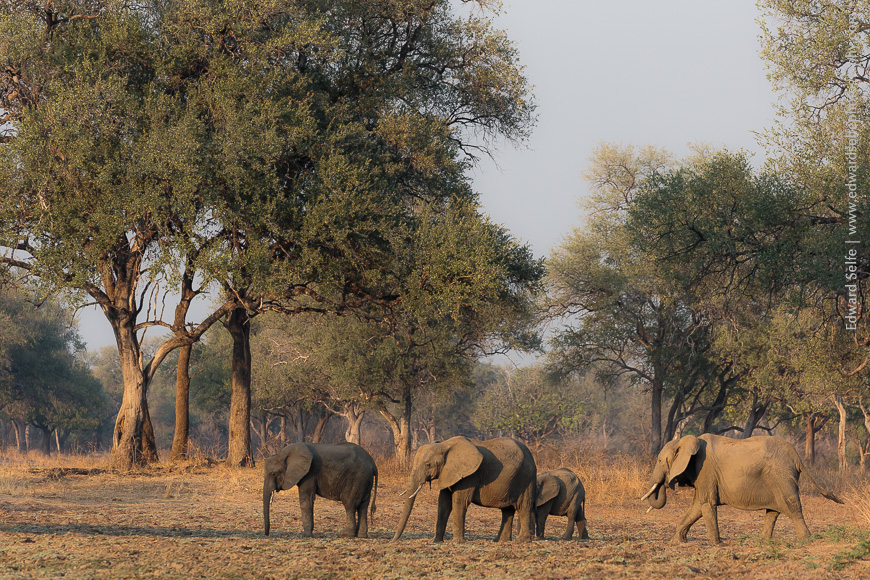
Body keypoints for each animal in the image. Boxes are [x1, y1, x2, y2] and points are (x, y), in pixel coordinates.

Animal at [392, 436, 536, 543]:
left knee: (523, 506)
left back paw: (521, 541)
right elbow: (443, 504)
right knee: (507, 510)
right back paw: (500, 541)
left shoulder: (470, 475)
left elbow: (459, 502)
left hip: (525, 478)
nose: (393, 540)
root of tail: (531, 455)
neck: (444, 445)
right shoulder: (448, 473)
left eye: (428, 464)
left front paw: (456, 542)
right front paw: (437, 541)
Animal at [642, 434, 843, 544]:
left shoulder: (705, 469)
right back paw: (763, 541)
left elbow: (706, 504)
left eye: (659, 461)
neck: (686, 441)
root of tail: (796, 455)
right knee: (773, 510)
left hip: (781, 476)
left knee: (792, 506)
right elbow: (697, 507)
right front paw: (677, 541)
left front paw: (717, 544)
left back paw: (806, 539)